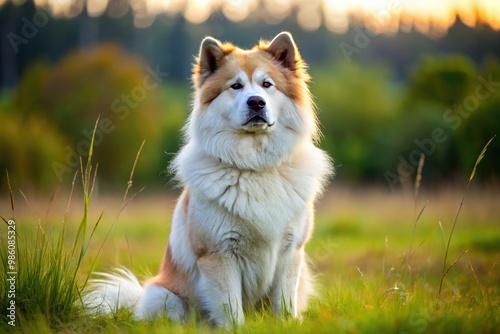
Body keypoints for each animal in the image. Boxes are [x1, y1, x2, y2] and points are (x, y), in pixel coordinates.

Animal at [84, 32, 334, 326]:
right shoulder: (219, 254)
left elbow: (283, 304)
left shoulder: (290, 251)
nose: (256, 102)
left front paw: (285, 325)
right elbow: (230, 308)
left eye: (267, 85)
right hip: (165, 296)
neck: (255, 168)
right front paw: (235, 328)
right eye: (236, 86)